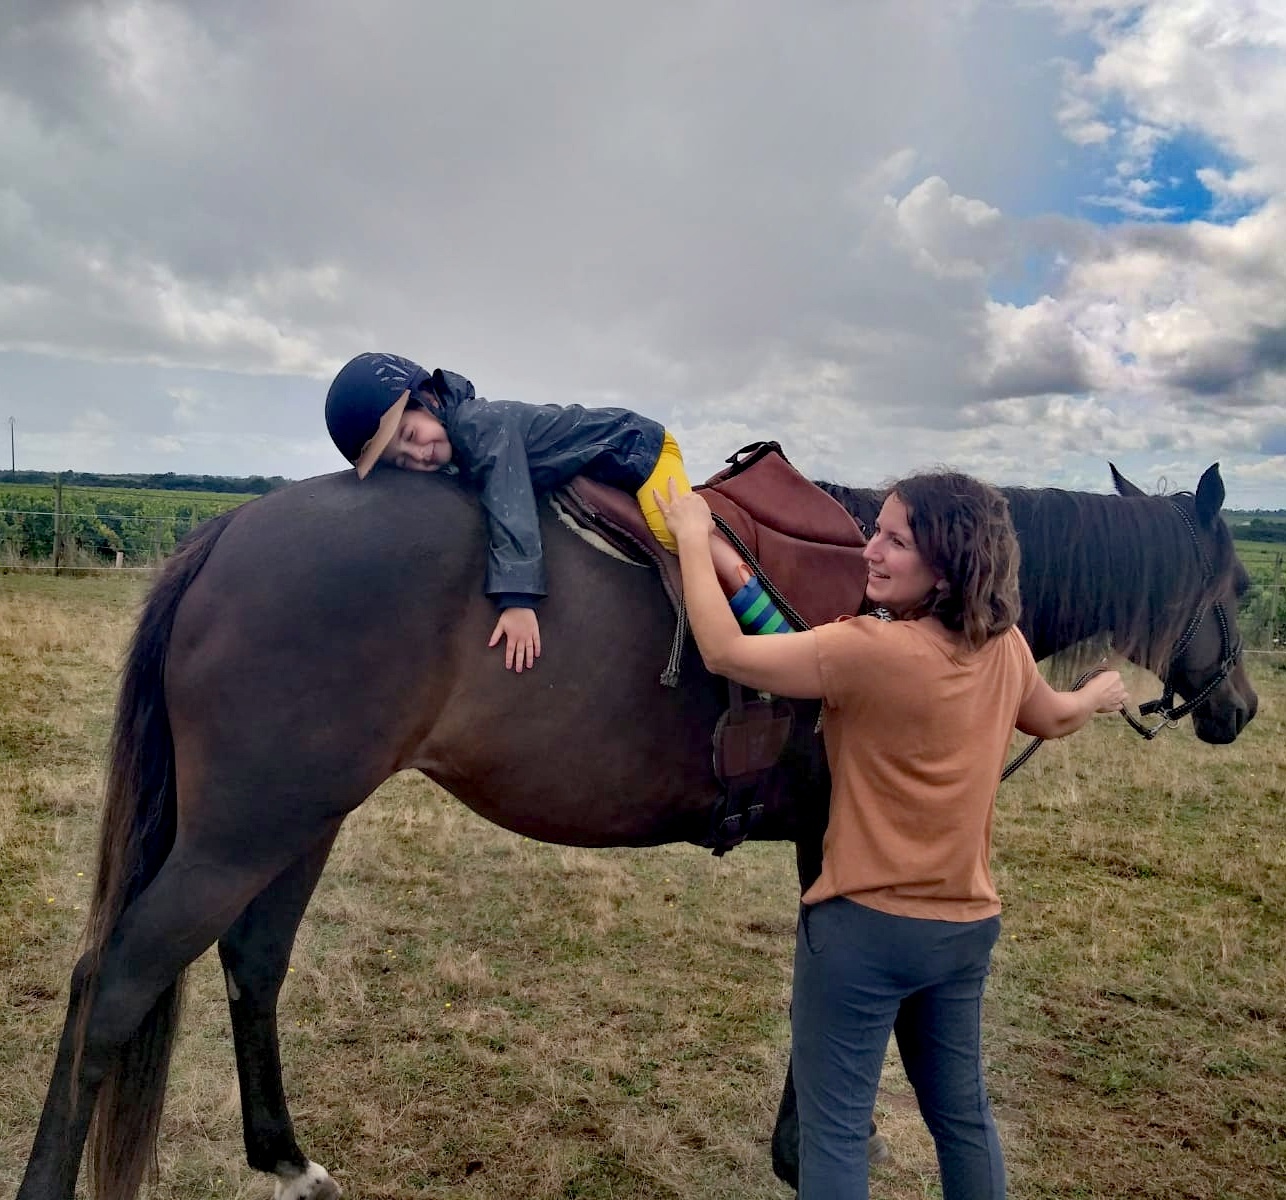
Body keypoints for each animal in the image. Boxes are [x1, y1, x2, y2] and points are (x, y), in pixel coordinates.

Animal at [17, 457, 1255, 1198]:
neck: (921, 606)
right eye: (1240, 588)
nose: (1237, 709)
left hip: (295, 820)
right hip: (242, 831)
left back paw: (285, 1158)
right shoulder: (836, 847)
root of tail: (225, 534)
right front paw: (803, 1157)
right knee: (111, 986)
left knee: (253, 962)